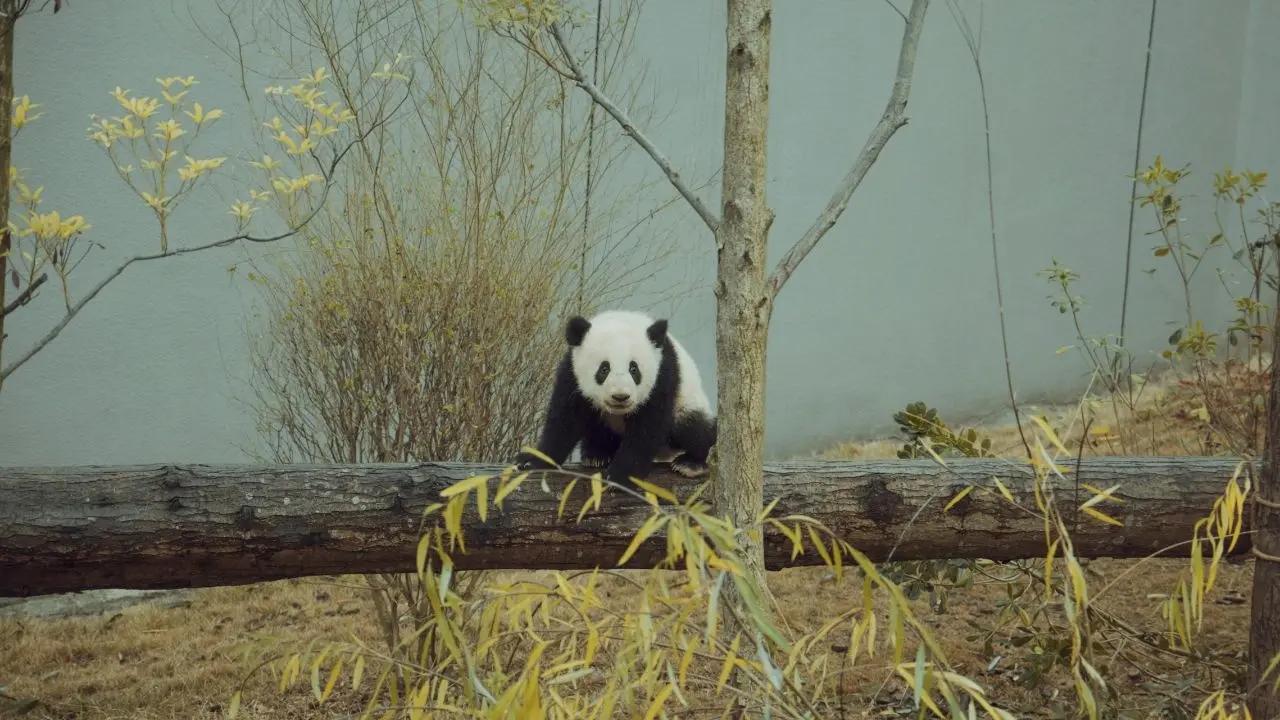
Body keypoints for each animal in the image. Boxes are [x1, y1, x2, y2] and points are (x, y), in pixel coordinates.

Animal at [514, 309, 717, 487]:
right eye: (604, 369)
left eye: (634, 369)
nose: (620, 396)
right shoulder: (572, 372)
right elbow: (565, 419)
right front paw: (531, 460)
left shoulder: (662, 375)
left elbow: (648, 425)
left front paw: (622, 476)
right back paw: (596, 454)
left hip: (688, 402)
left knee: (694, 427)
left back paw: (690, 463)